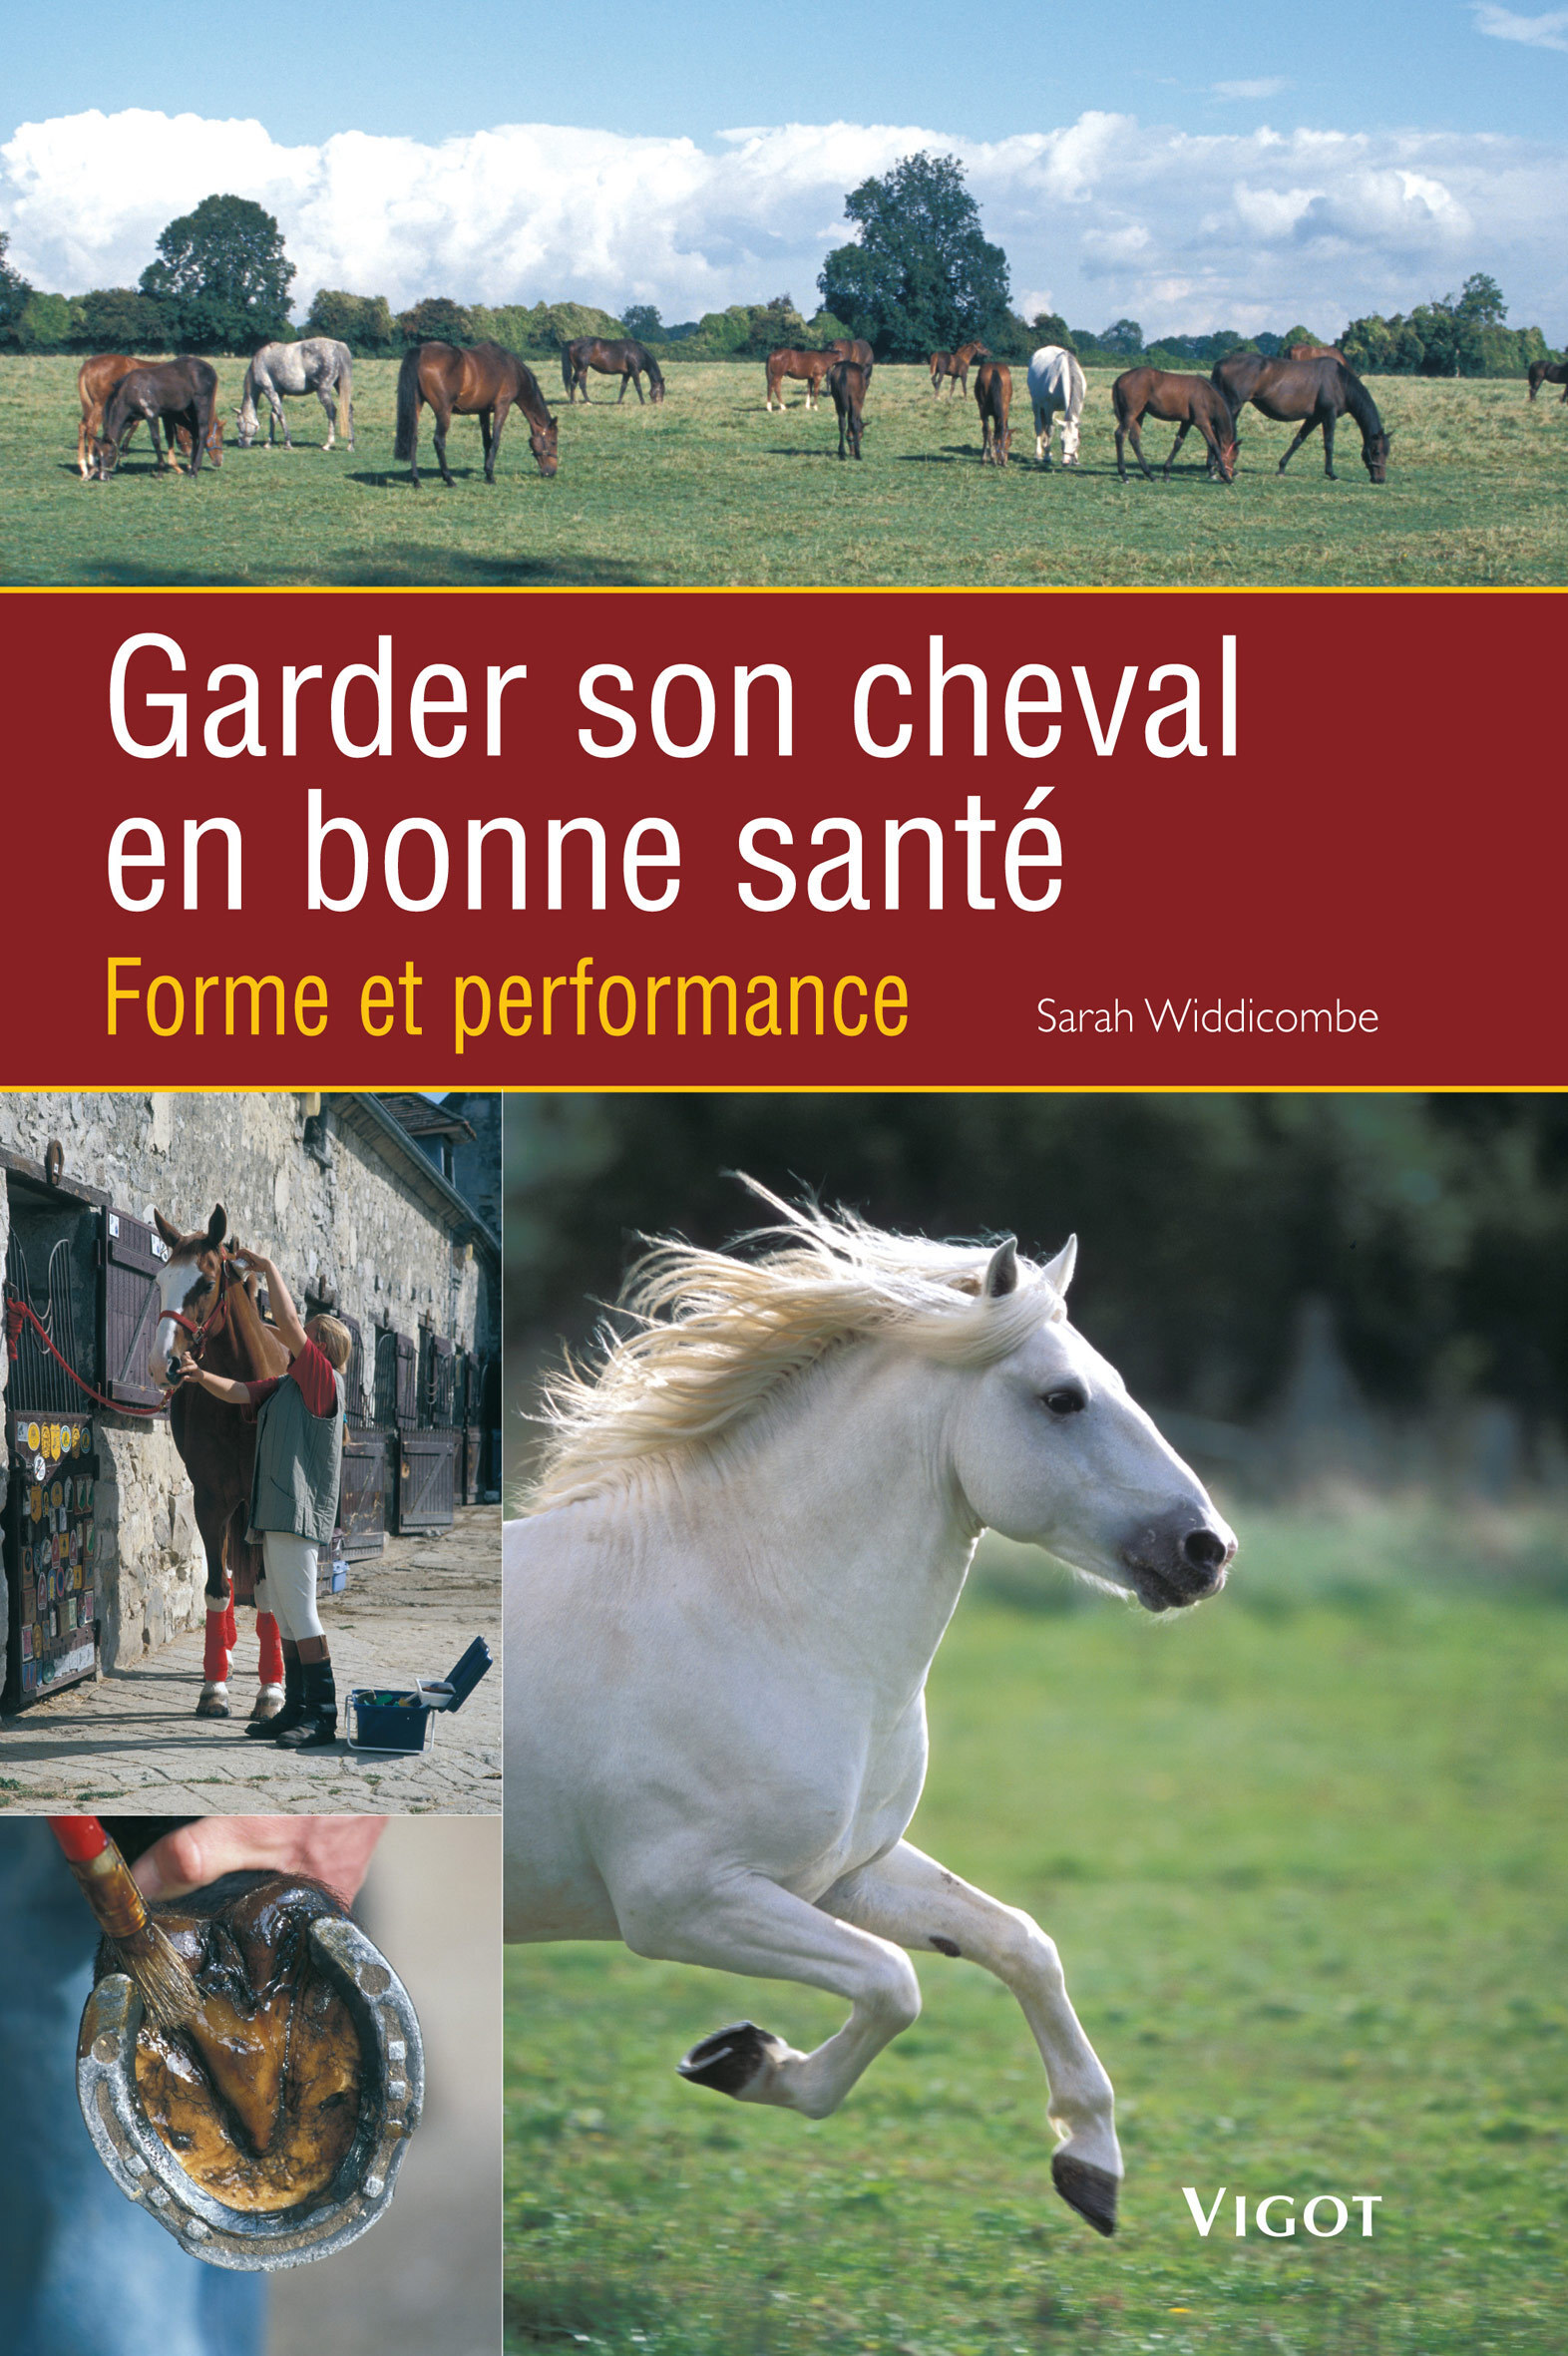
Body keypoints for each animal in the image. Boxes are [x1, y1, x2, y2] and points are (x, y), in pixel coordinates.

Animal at [91, 358, 223, 480]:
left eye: (109, 455)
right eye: (98, 456)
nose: (104, 476)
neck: (131, 389)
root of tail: (210, 369)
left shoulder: (151, 413)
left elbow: (155, 440)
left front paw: (160, 471)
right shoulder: (130, 420)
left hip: (201, 404)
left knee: (202, 431)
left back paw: (195, 469)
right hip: (186, 411)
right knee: (194, 430)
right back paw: (192, 466)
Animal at [148, 1204, 292, 1721]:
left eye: (206, 1283)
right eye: (160, 1280)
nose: (163, 1364)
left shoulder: (268, 1507)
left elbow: (269, 1592)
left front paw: (271, 1691)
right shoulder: (210, 1501)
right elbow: (215, 1587)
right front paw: (214, 1686)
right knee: (228, 1572)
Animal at [395, 341, 559, 484]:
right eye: (553, 442)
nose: (551, 472)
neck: (511, 368)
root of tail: (421, 351)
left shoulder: (483, 411)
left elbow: (487, 441)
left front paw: (487, 473)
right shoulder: (502, 407)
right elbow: (496, 440)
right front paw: (490, 475)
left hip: (416, 406)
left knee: (413, 439)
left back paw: (416, 480)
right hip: (443, 412)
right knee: (439, 441)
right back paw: (449, 479)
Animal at [503, 1187, 1237, 2239]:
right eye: (1063, 1398)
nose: (1207, 1550)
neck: (756, 1612)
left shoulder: (840, 1873)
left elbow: (1022, 1942)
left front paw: (1090, 2162)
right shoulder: (682, 1902)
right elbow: (897, 1984)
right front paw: (743, 2061)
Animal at [1211, 352, 1389, 482]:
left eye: (1387, 452)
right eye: (1376, 451)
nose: (1379, 479)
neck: (1340, 382)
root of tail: (1220, 363)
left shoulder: (1314, 417)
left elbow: (1298, 440)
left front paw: (1281, 468)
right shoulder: (1328, 415)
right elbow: (1329, 444)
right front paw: (1331, 473)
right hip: (1233, 405)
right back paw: (1217, 470)